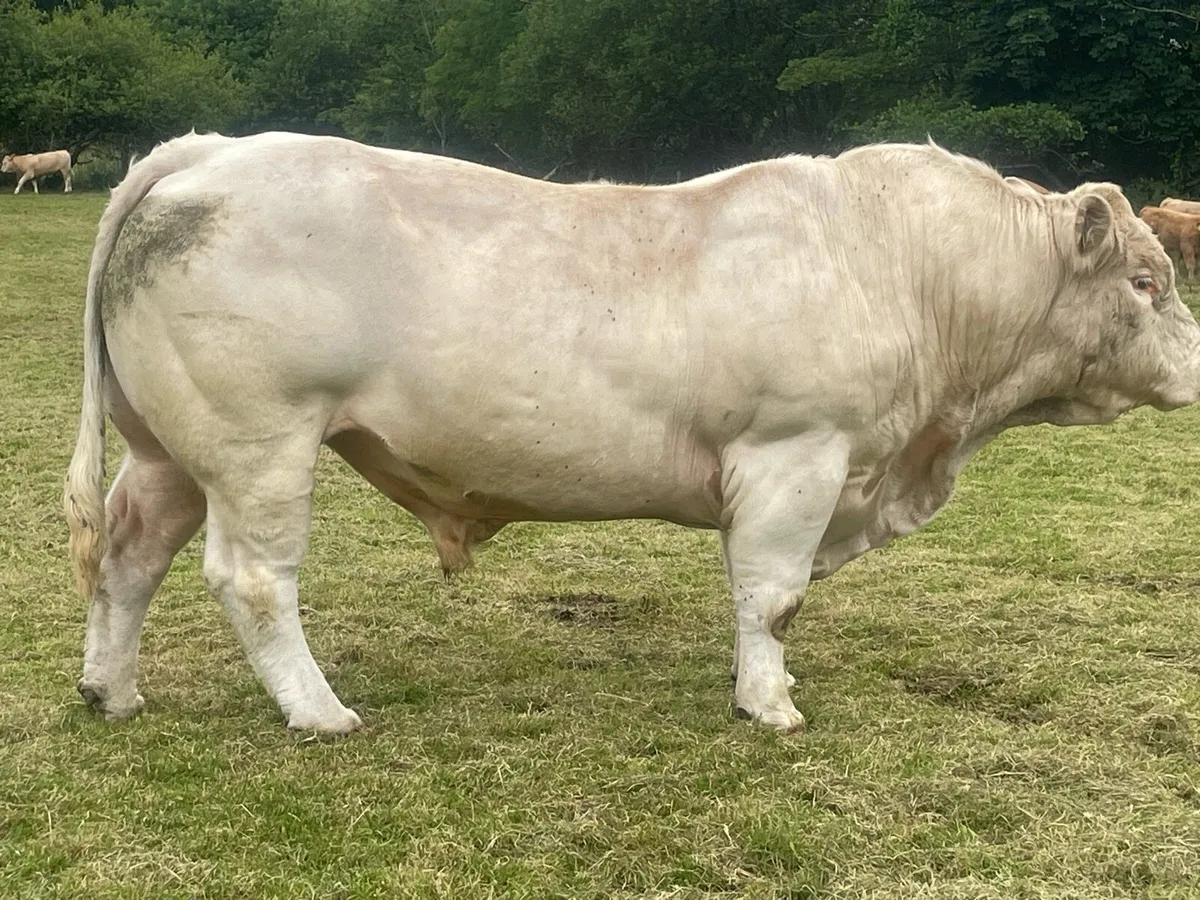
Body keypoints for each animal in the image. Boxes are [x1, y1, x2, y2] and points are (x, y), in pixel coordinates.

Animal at [64, 131, 1200, 735]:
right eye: (1148, 283)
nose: (1196, 365)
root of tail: (210, 151)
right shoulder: (797, 455)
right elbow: (774, 597)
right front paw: (770, 707)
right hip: (259, 441)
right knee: (253, 578)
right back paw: (317, 711)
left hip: (171, 451)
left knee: (129, 556)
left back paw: (111, 691)